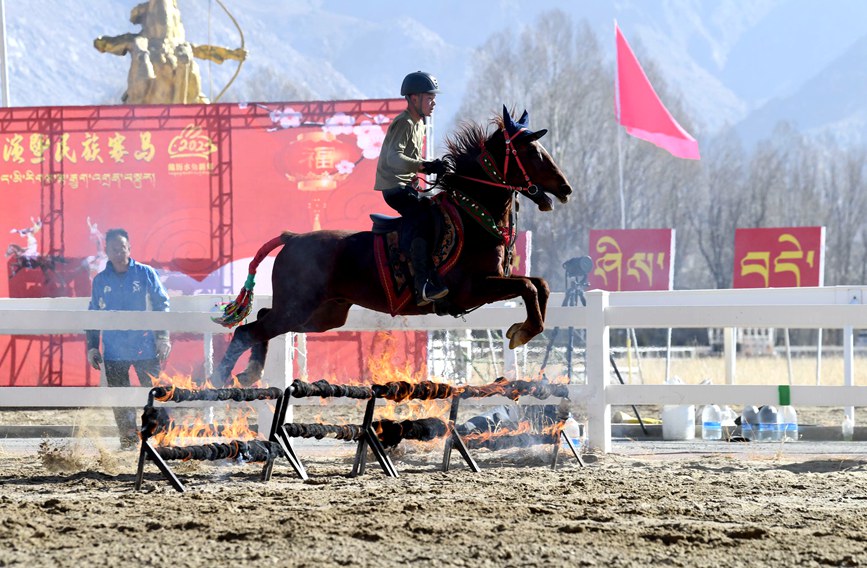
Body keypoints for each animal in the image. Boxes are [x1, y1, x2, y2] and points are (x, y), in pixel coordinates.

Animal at [214, 106, 572, 386]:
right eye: (531, 152)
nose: (565, 188)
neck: (474, 217)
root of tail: (292, 238)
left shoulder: (495, 283)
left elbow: (540, 284)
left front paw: (524, 328)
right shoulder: (473, 289)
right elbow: (528, 286)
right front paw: (523, 331)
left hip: (322, 315)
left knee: (261, 321)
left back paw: (248, 373)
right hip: (299, 308)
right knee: (250, 330)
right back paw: (222, 378)